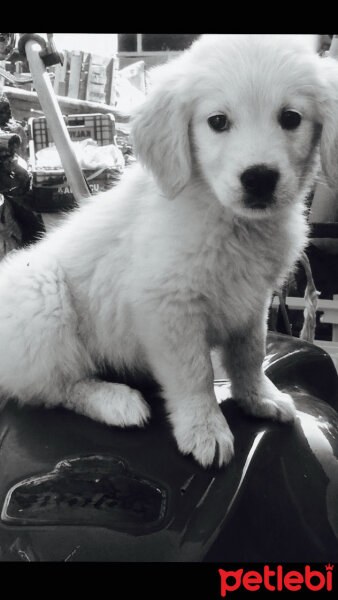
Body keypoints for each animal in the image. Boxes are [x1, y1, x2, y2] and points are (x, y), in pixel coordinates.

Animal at [0, 35, 338, 468]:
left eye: (291, 118)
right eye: (217, 122)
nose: (260, 178)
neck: (227, 218)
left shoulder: (253, 298)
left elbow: (251, 352)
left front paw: (259, 397)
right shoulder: (168, 305)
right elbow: (195, 374)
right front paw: (205, 429)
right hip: (41, 297)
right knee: (53, 387)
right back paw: (114, 401)